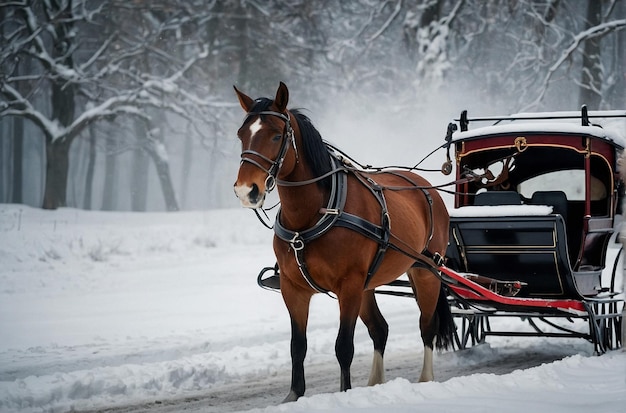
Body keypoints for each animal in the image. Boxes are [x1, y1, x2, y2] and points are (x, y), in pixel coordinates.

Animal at [232, 82, 450, 400]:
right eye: (241, 134)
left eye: (276, 135)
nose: (246, 190)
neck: (314, 214)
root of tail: (426, 187)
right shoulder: (293, 289)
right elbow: (297, 347)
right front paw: (294, 394)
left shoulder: (348, 286)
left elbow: (343, 347)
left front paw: (345, 392)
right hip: (368, 285)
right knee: (380, 329)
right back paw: (375, 383)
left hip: (425, 272)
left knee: (427, 326)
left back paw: (426, 379)